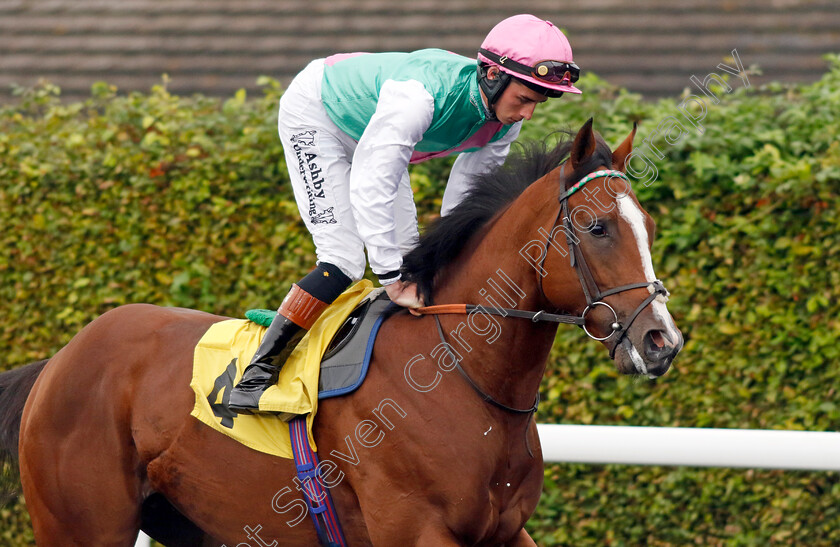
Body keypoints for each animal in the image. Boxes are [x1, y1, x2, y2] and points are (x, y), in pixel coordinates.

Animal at [0, 121, 684, 547]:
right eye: (597, 227)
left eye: (648, 225)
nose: (662, 342)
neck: (460, 379)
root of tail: (59, 360)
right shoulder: (415, 530)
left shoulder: (506, 530)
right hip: (81, 523)